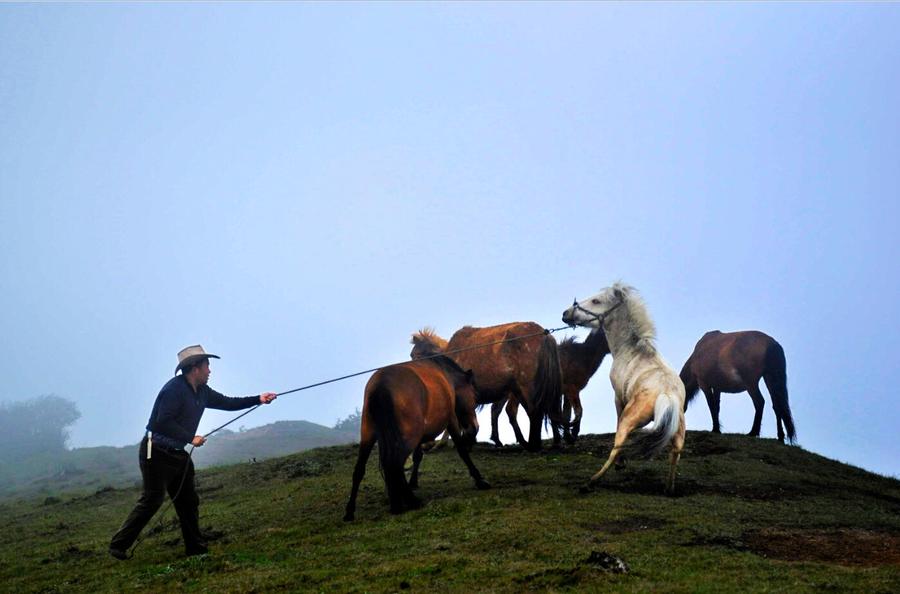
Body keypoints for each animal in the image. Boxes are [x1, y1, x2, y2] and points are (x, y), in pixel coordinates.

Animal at [342, 352, 488, 520]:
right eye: (474, 395)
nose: (474, 427)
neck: (444, 374)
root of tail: (381, 385)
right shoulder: (451, 420)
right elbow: (462, 450)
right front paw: (479, 480)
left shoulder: (420, 435)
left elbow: (417, 456)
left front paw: (413, 482)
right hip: (407, 438)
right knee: (394, 464)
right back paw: (409, 501)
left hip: (369, 436)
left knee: (361, 469)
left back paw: (352, 510)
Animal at [564, 280, 684, 490]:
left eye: (596, 301)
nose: (566, 313)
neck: (632, 350)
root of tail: (668, 397)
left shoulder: (618, 398)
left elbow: (617, 421)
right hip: (678, 432)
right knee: (675, 453)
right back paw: (668, 488)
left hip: (630, 419)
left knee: (618, 444)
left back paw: (593, 480)